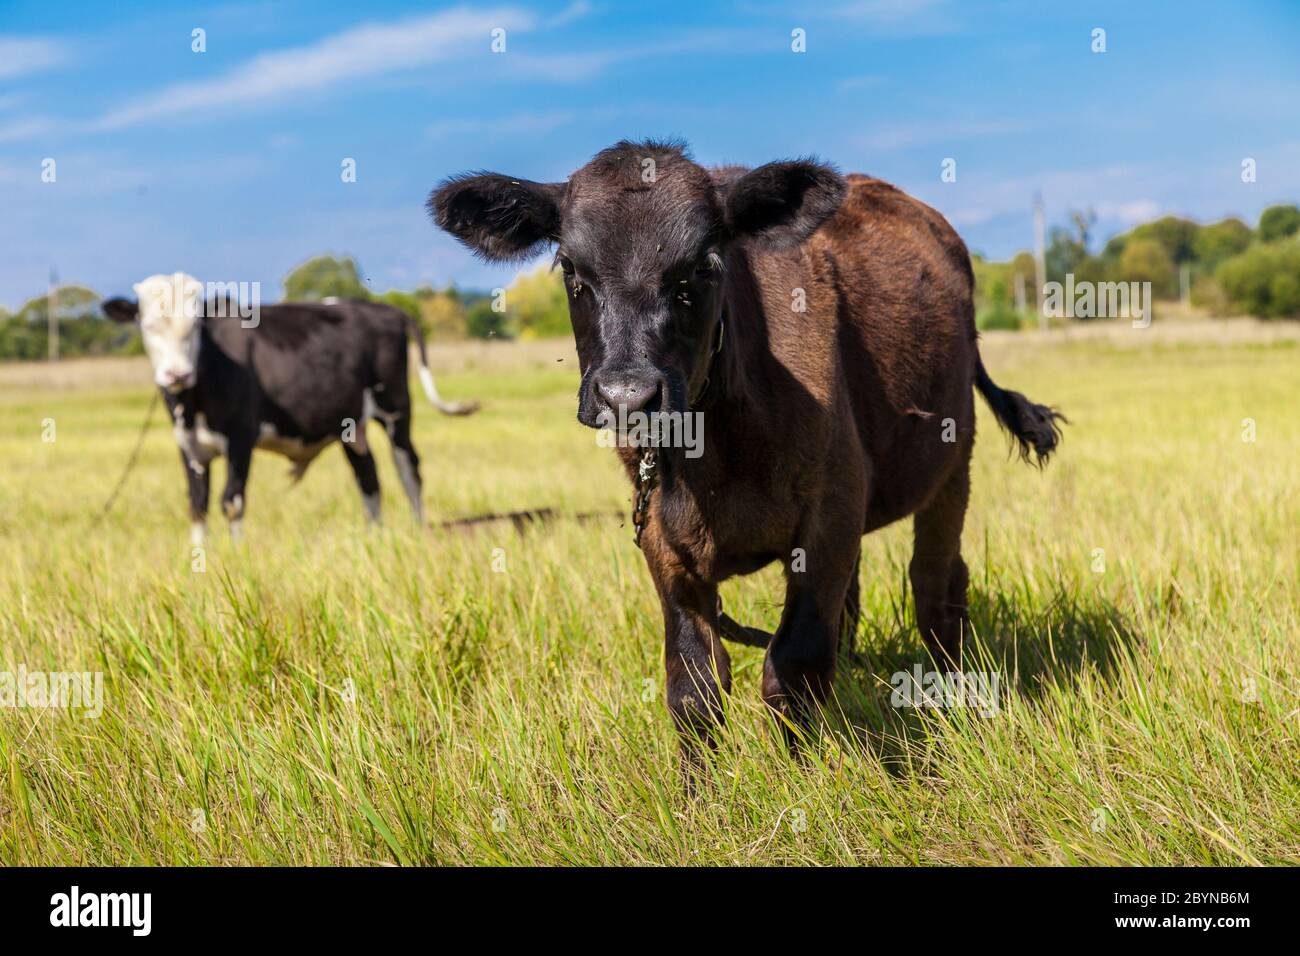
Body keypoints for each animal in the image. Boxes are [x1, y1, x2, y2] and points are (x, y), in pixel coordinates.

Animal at [102, 273, 477, 544]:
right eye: (147, 326)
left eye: (195, 326)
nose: (177, 374)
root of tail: (383, 309)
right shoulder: (188, 444)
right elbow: (197, 506)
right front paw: (201, 562)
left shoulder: (241, 438)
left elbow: (232, 502)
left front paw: (236, 558)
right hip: (351, 426)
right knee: (369, 477)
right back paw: (374, 538)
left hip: (395, 409)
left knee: (408, 470)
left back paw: (418, 530)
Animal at [430, 140, 1063, 763]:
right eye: (570, 269)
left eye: (703, 266)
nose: (628, 396)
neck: (716, 455)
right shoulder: (661, 537)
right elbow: (694, 684)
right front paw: (700, 789)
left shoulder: (828, 515)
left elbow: (793, 667)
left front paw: (803, 775)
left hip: (952, 466)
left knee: (935, 583)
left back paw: (949, 691)